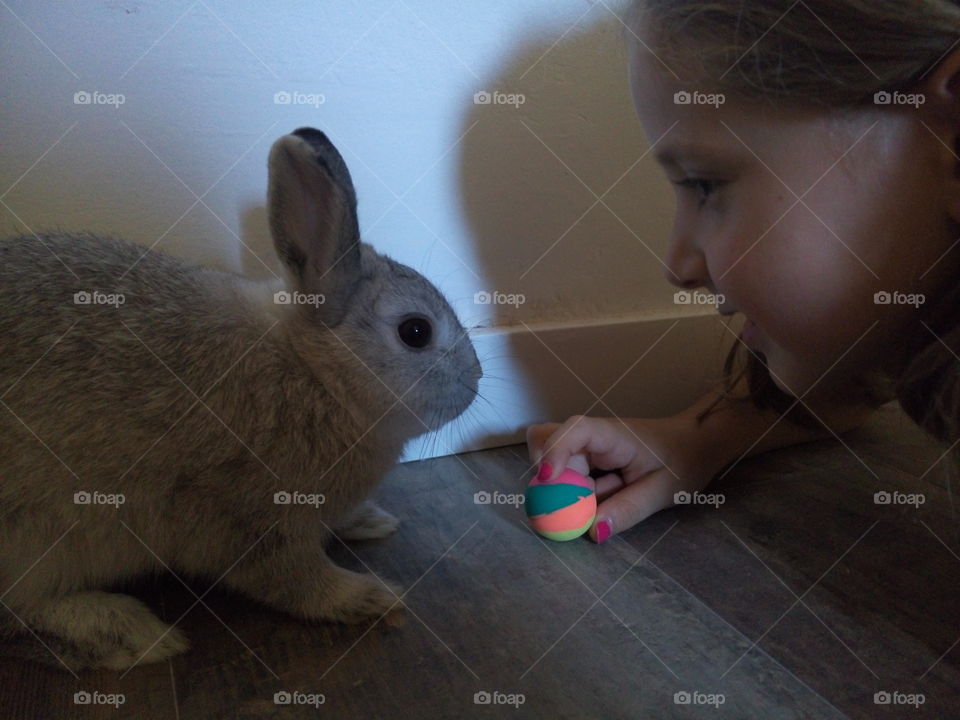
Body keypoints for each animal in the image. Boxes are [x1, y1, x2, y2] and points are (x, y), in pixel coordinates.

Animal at [0, 126, 482, 671]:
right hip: (32, 540)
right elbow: (295, 580)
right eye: (416, 332)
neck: (315, 374)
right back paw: (134, 634)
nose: (476, 380)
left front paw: (371, 520)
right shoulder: (248, 521)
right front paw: (370, 597)